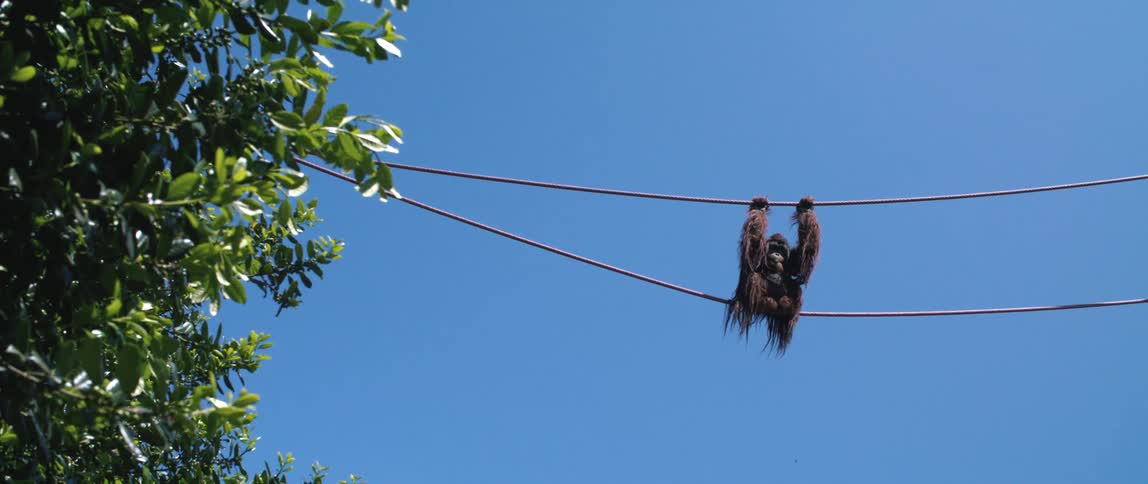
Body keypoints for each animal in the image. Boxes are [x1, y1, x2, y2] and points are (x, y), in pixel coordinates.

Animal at [725, 196, 820, 353]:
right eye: (774, 247)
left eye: (781, 250)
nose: (776, 254)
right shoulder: (758, 252)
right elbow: (754, 241)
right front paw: (759, 207)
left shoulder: (792, 260)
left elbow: (805, 254)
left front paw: (805, 208)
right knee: (754, 277)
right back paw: (763, 301)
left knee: (795, 286)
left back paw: (787, 305)